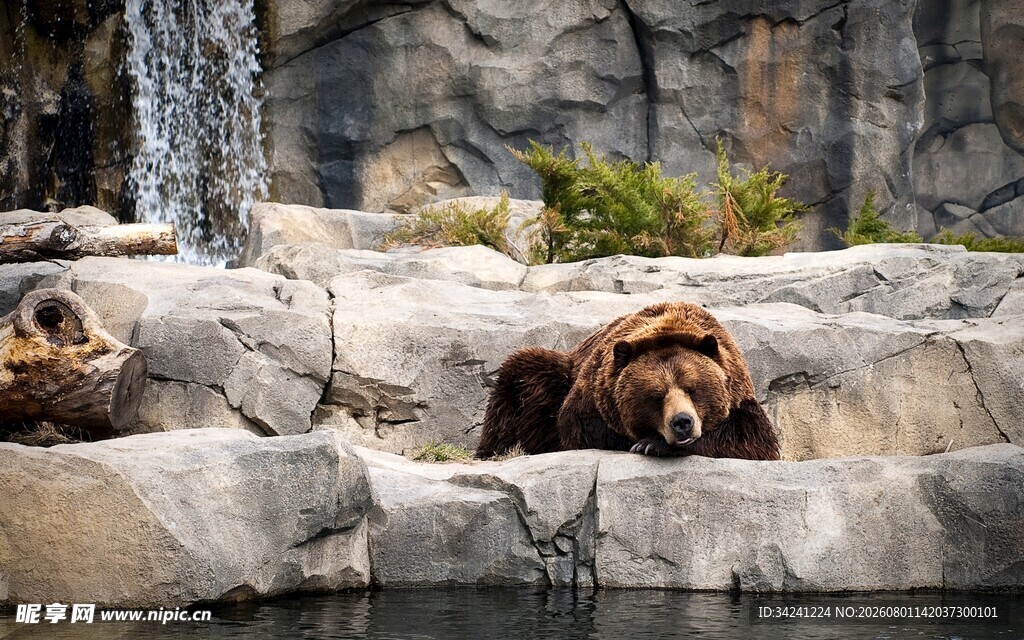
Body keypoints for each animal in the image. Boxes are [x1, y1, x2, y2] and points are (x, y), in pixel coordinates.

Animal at [475, 301, 780, 461]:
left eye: (693, 389)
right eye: (656, 396)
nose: (682, 422)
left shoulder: (739, 394)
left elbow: (752, 439)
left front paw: (652, 444)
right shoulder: (592, 396)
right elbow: (583, 429)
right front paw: (646, 442)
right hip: (553, 377)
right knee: (520, 378)